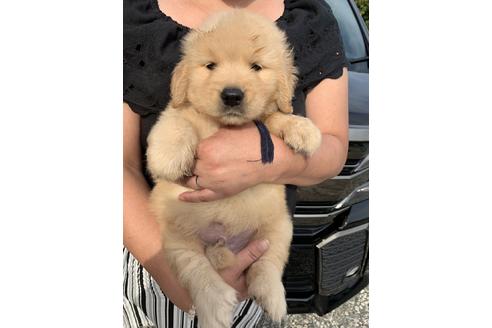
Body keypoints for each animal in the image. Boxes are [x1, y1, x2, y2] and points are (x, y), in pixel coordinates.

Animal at [146, 10, 322, 328]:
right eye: (210, 65)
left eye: (256, 67)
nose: (231, 95)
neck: (225, 125)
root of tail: (225, 244)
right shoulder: (179, 111)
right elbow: (177, 119)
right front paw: (168, 156)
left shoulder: (264, 118)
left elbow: (276, 117)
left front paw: (303, 129)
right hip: (176, 241)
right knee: (197, 271)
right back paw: (216, 306)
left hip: (279, 228)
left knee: (266, 266)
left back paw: (273, 299)